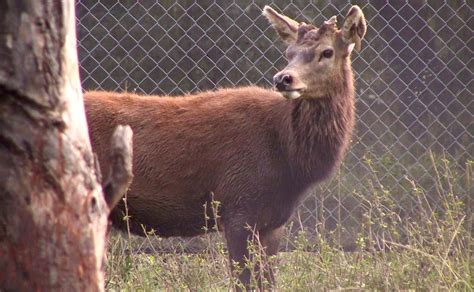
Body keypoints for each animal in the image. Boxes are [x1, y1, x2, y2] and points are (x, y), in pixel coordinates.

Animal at [84, 4, 366, 290]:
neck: (290, 162)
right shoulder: (237, 206)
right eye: (289, 53)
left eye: (327, 52)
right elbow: (243, 281)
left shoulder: (272, 223)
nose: (283, 78)